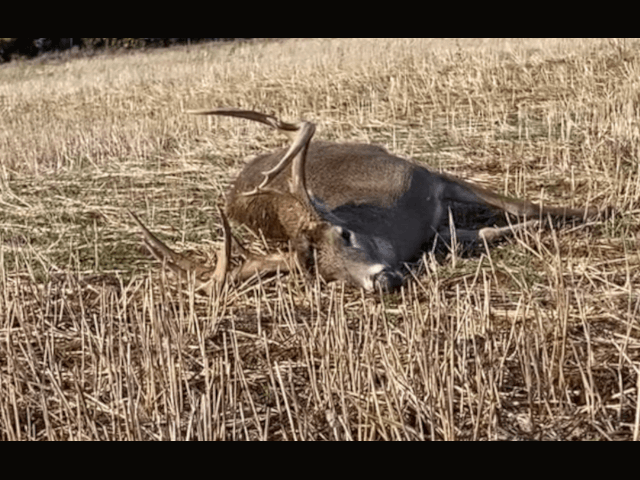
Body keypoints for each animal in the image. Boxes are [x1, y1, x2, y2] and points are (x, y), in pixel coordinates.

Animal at [130, 108, 604, 294]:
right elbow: (486, 231)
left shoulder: (426, 175)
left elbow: (524, 207)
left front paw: (599, 212)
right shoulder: (435, 229)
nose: (380, 281)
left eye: (346, 234)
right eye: (326, 276)